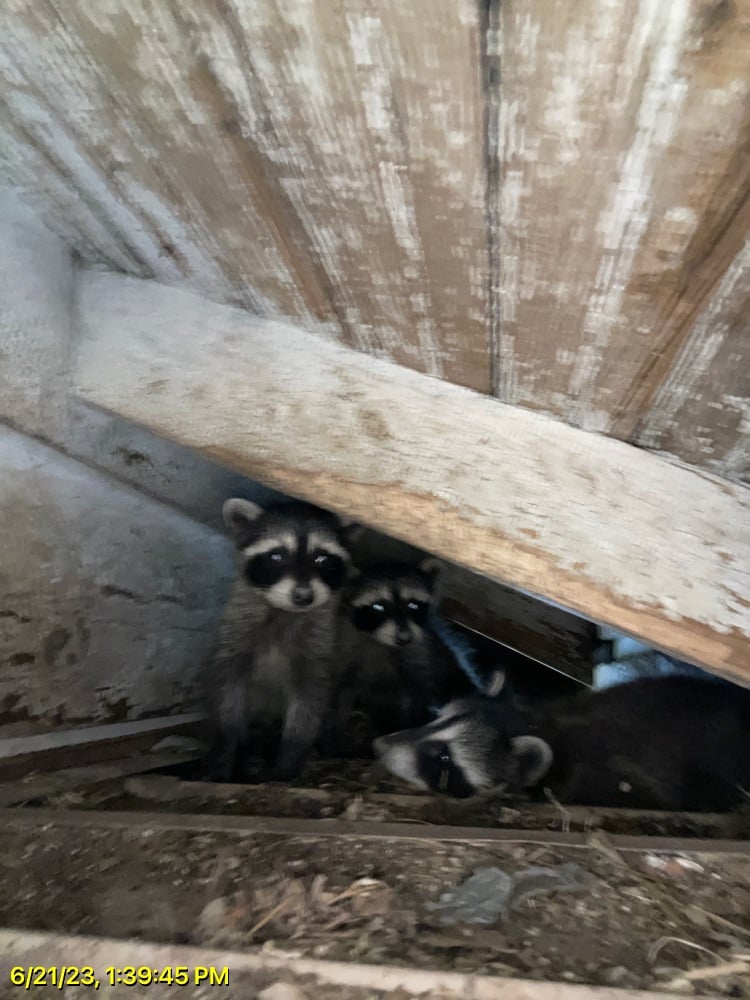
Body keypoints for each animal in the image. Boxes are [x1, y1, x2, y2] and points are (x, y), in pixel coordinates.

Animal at [203, 497, 353, 783]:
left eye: (322, 557)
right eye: (277, 556)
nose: (303, 596)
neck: (286, 612)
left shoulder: (319, 647)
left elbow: (310, 700)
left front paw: (290, 756)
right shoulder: (235, 635)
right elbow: (227, 692)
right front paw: (225, 750)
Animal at [334, 559, 503, 742]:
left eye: (413, 604)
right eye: (378, 607)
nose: (404, 637)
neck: (388, 646)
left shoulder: (424, 657)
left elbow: (421, 694)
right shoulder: (350, 652)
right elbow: (341, 691)